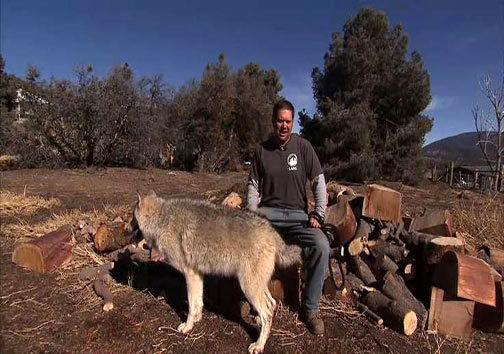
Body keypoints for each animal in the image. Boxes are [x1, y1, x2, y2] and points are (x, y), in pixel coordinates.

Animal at [131, 192, 304, 352]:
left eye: (132, 218)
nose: (126, 227)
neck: (162, 218)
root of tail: (273, 232)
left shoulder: (189, 273)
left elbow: (191, 305)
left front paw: (187, 327)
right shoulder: (197, 274)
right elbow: (198, 303)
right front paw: (197, 320)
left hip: (249, 288)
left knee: (267, 312)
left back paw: (259, 345)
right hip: (257, 287)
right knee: (272, 304)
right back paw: (259, 324)